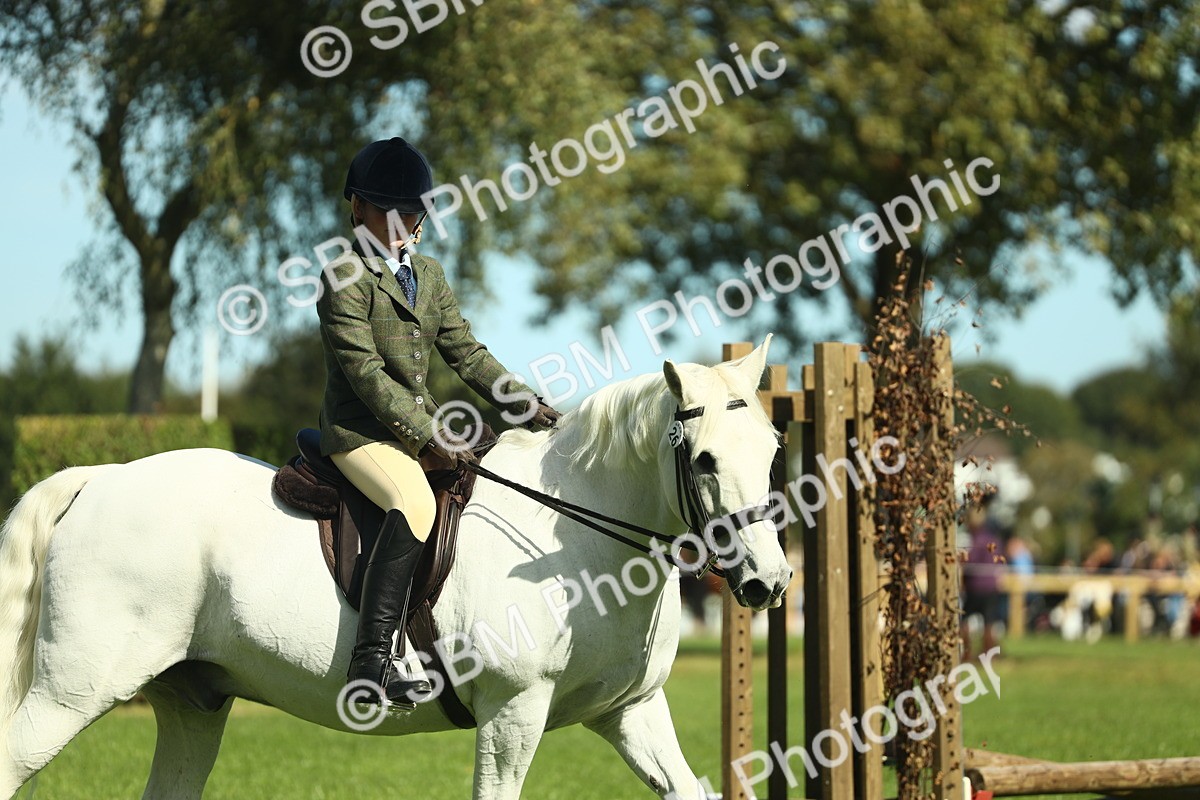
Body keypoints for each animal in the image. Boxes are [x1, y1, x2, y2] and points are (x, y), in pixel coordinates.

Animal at [0, 337, 791, 800]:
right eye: (705, 460)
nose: (770, 582)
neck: (573, 535)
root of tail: (99, 477)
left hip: (192, 702)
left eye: (774, 448)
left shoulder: (631, 712)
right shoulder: (513, 711)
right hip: (75, 691)